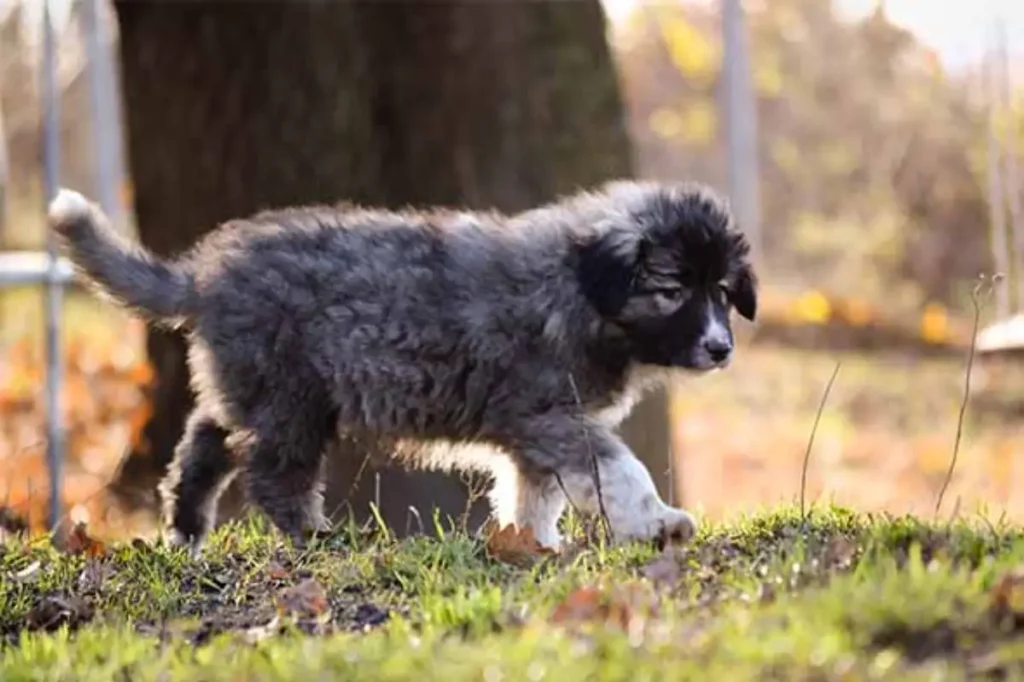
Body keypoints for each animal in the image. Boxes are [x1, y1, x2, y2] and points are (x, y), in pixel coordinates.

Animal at [46, 182, 753, 552]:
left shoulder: (537, 430)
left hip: (252, 385)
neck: (580, 287)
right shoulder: (550, 415)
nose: (721, 348)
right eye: (673, 289)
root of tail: (202, 275)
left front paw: (531, 543)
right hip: (291, 400)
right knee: (273, 474)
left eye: (722, 290)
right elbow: (618, 468)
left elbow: (534, 492)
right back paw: (312, 535)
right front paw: (657, 522)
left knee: (202, 445)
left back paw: (187, 531)